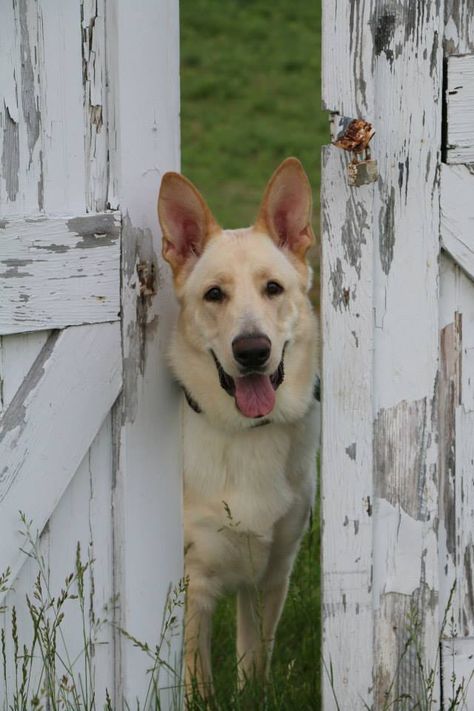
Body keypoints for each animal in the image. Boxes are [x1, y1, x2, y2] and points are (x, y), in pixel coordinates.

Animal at [157, 159, 320, 700]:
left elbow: (255, 664)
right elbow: (196, 682)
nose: (252, 351)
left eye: (273, 288)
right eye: (214, 294)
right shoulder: (193, 587)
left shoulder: (271, 572)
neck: (247, 435)